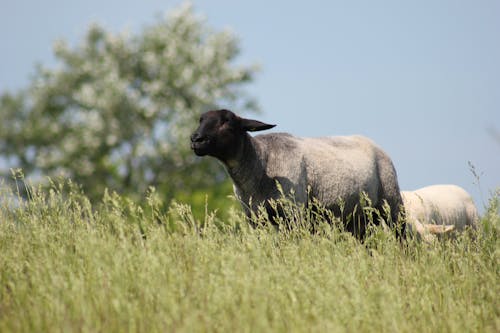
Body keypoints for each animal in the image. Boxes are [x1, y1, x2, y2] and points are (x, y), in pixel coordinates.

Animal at [189, 108, 404, 236]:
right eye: (200, 120)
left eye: (226, 122)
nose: (195, 139)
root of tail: (374, 144)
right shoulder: (255, 218)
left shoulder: (294, 213)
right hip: (357, 216)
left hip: (391, 202)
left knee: (402, 235)